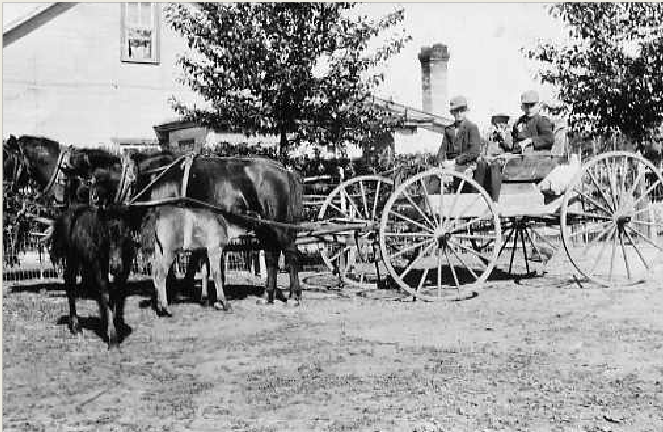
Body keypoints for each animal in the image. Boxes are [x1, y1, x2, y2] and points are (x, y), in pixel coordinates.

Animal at [131, 153, 302, 318]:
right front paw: (205, 298)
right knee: (271, 256)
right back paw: (267, 296)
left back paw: (293, 297)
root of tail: (285, 172)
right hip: (265, 229)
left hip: (279, 227)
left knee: (291, 254)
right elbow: (203, 266)